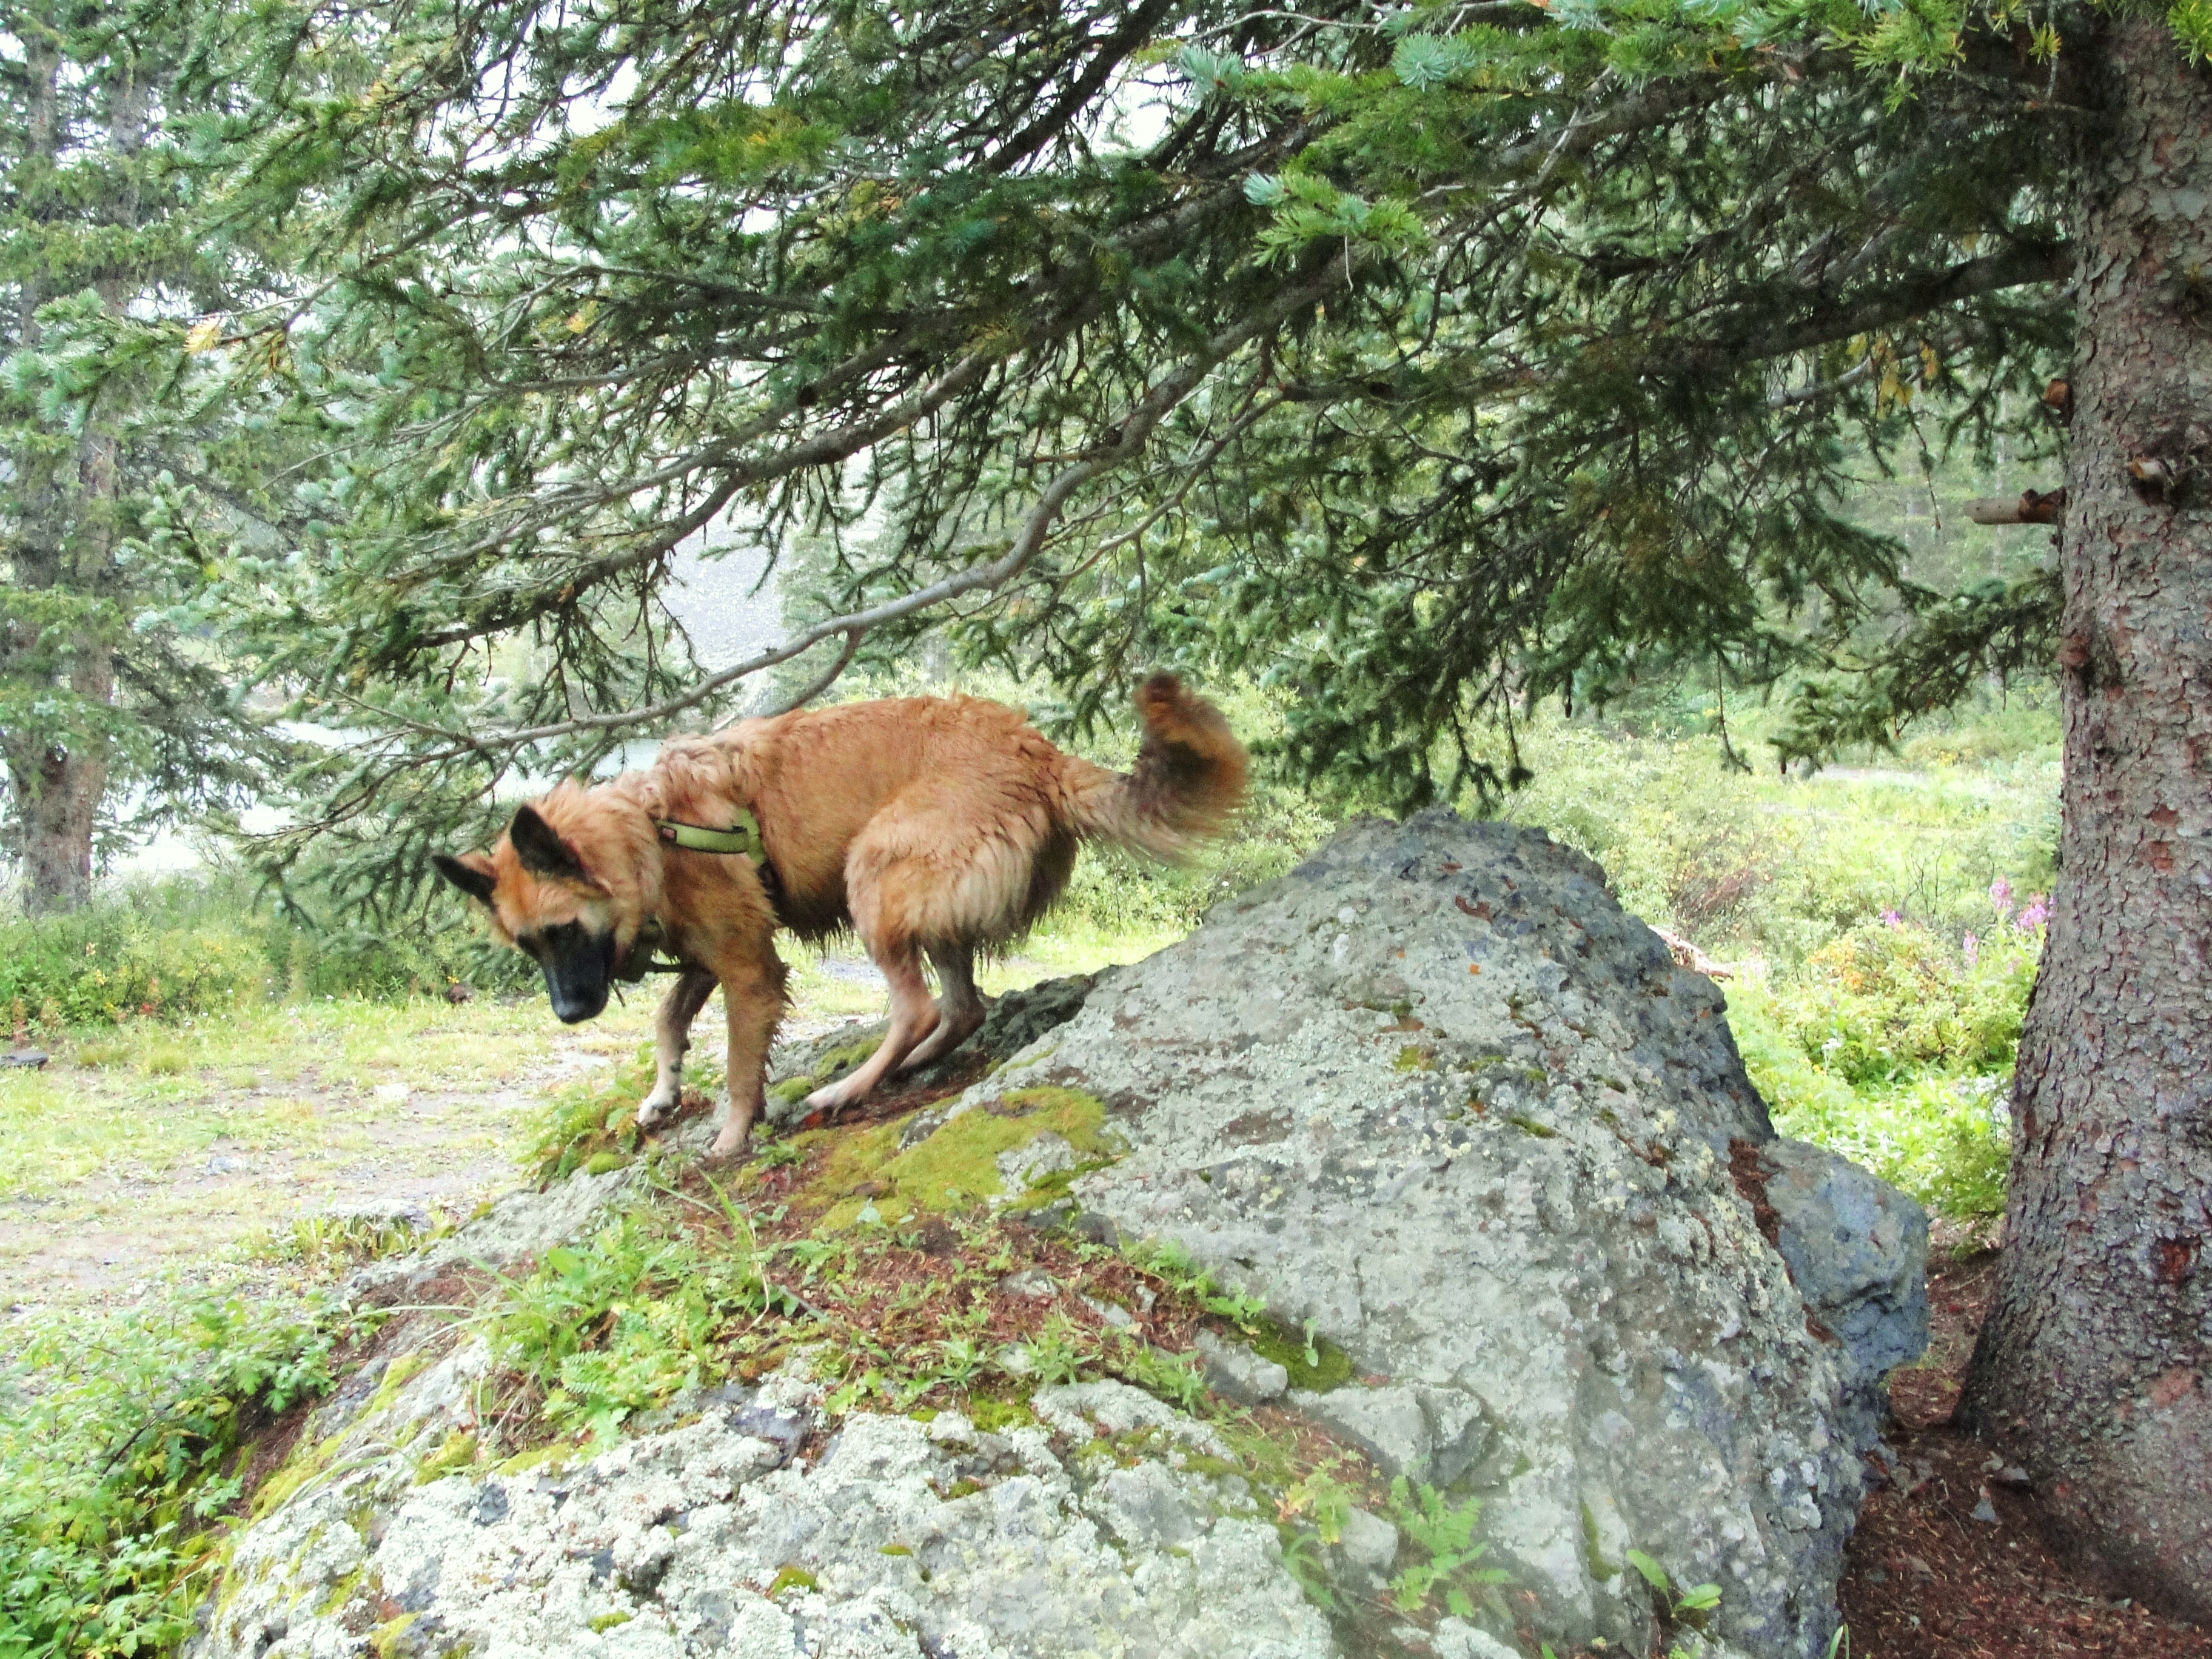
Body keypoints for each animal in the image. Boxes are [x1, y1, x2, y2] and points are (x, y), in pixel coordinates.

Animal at [434, 677, 1256, 1159]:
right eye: (528, 946)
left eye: (564, 932)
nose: (570, 1014)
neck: (649, 830)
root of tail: (1036, 750)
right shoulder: (709, 952)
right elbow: (668, 1019)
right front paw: (663, 1093)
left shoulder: (748, 966)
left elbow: (738, 1067)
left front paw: (729, 1136)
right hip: (923, 904)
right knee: (961, 1008)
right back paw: (909, 1066)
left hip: (875, 875)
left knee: (917, 1006)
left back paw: (848, 1089)